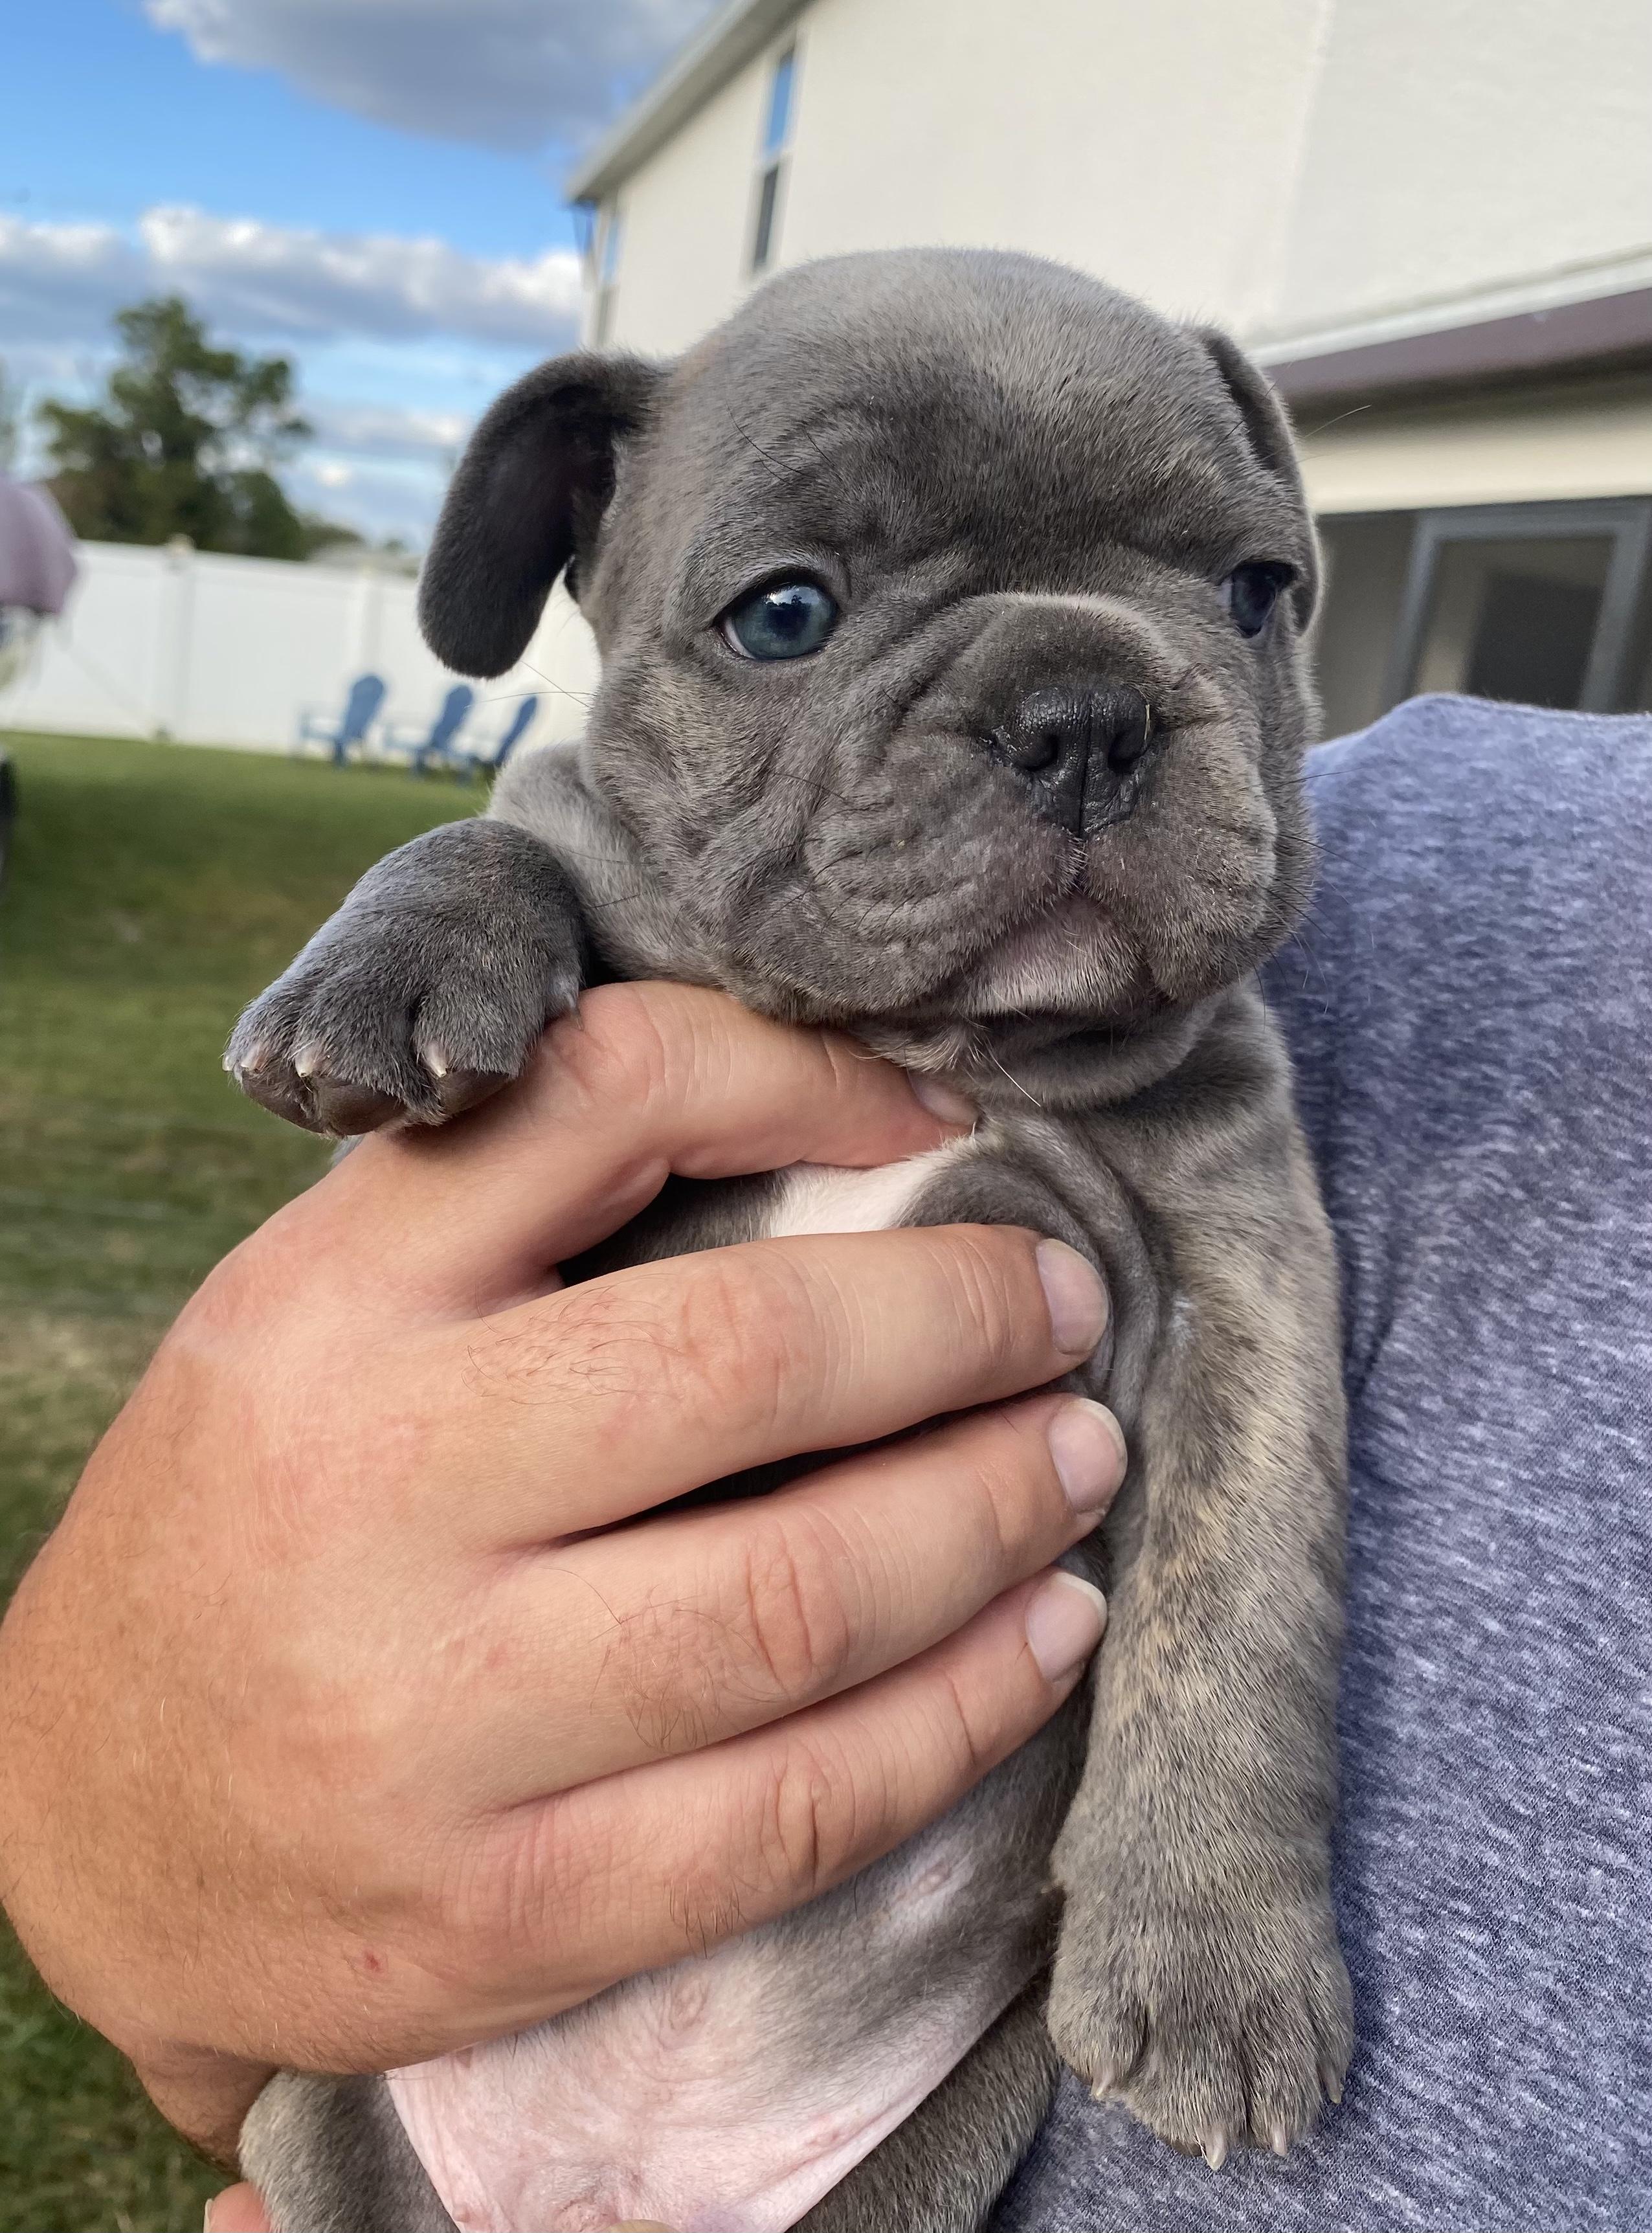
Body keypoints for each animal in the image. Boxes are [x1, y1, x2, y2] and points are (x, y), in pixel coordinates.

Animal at [228, 247, 1352, 2233]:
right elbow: (506, 833)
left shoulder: (1250, 1296)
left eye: (1252, 590)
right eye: (784, 616)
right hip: (321, 2127)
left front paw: (1217, 1959)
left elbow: (1234, 1624)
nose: (1086, 707)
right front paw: (392, 968)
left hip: (922, 2160)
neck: (932, 1045)